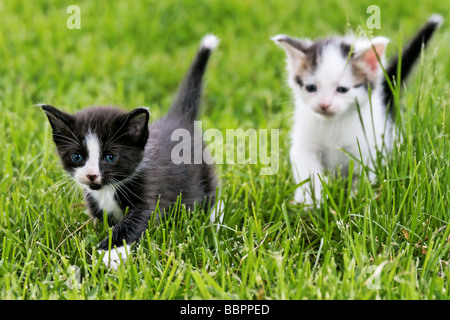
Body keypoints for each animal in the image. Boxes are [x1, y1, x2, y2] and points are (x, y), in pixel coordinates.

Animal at [41, 33, 221, 268]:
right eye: (77, 156)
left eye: (110, 157)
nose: (91, 175)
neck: (108, 190)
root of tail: (179, 119)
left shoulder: (150, 192)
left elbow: (137, 220)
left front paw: (109, 252)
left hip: (202, 170)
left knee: (211, 192)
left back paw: (214, 218)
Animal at [272, 15, 442, 206]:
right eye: (311, 87)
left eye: (342, 89)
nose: (324, 104)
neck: (334, 124)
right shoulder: (304, 144)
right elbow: (307, 167)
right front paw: (311, 198)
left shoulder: (369, 147)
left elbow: (365, 174)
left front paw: (357, 196)